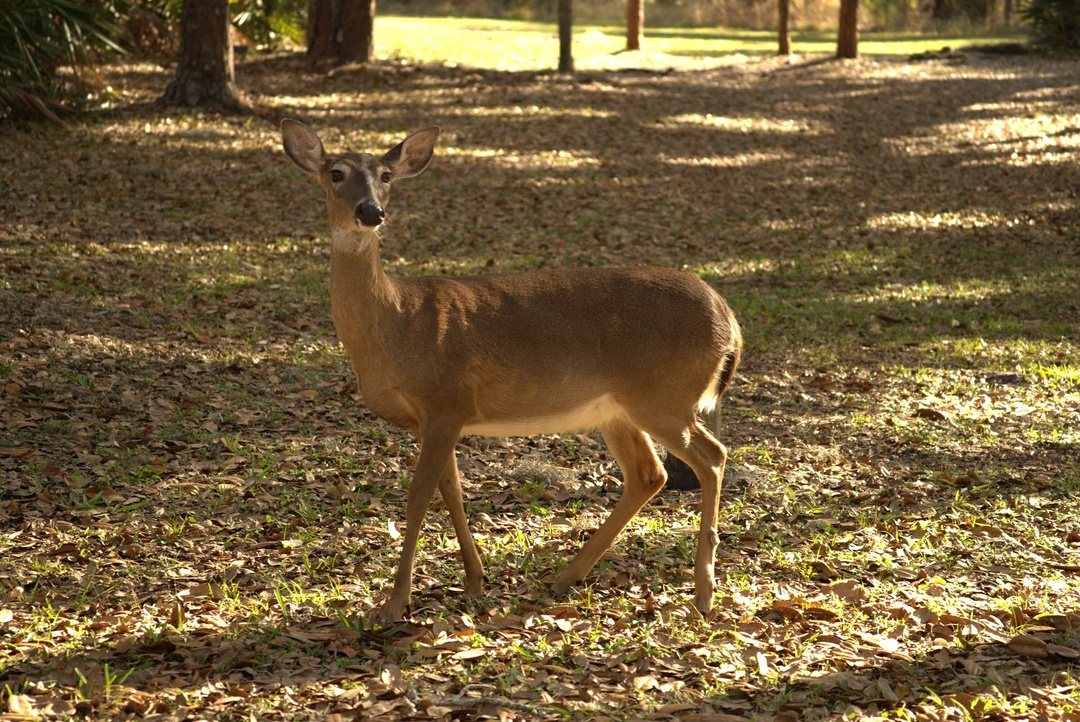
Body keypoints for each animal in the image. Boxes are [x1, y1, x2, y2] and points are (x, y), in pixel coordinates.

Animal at [280, 119, 743, 622]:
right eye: (337, 173)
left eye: (385, 175)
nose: (371, 211)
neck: (395, 323)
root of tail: (730, 319)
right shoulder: (437, 418)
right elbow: (452, 490)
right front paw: (474, 580)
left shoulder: (445, 400)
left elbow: (419, 496)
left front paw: (395, 603)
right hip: (619, 409)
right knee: (649, 474)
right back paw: (567, 577)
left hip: (665, 397)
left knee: (712, 457)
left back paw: (703, 592)